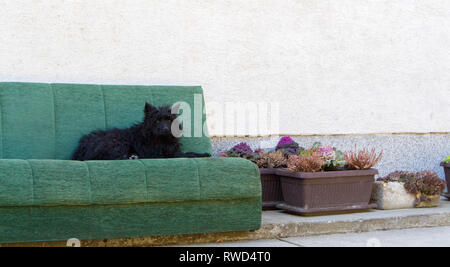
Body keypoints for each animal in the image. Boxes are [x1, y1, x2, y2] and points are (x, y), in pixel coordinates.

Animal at [71, 103, 211, 161]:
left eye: (168, 120)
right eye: (157, 120)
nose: (165, 129)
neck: (162, 139)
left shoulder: (173, 151)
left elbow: (191, 152)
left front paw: (204, 154)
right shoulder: (165, 155)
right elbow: (188, 154)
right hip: (118, 142)